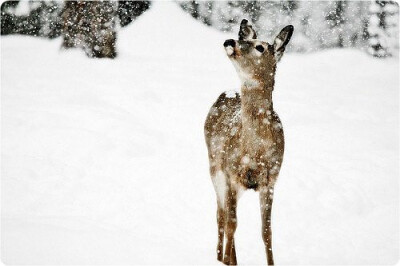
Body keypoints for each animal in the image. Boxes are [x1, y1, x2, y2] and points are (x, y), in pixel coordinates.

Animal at [205, 19, 292, 266]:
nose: (230, 41)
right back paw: (220, 257)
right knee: (221, 215)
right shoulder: (231, 173)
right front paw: (226, 261)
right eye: (245, 39)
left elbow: (267, 231)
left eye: (260, 47)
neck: (255, 152)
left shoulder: (270, 180)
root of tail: (227, 92)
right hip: (215, 168)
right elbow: (232, 223)